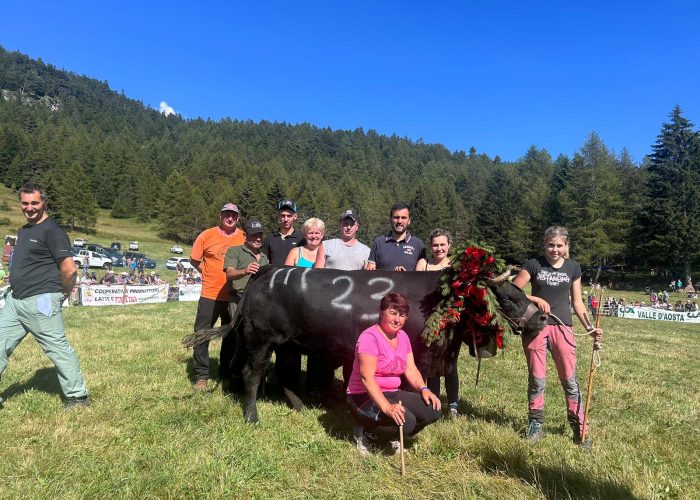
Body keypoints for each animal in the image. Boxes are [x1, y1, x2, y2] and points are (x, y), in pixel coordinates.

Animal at [205, 266, 544, 422]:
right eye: (509, 298)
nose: (541, 317)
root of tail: (270, 270)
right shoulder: (421, 357)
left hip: (288, 343)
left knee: (284, 373)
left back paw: (300, 407)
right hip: (261, 340)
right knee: (252, 374)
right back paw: (251, 416)